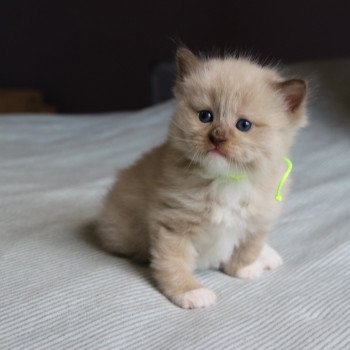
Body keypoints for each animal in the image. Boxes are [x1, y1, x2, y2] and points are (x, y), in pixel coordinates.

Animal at [97, 47, 308, 308]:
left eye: (244, 125)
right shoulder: (173, 226)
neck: (227, 181)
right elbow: (173, 264)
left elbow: (248, 247)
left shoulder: (259, 220)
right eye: (206, 116)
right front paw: (190, 292)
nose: (217, 137)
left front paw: (243, 269)